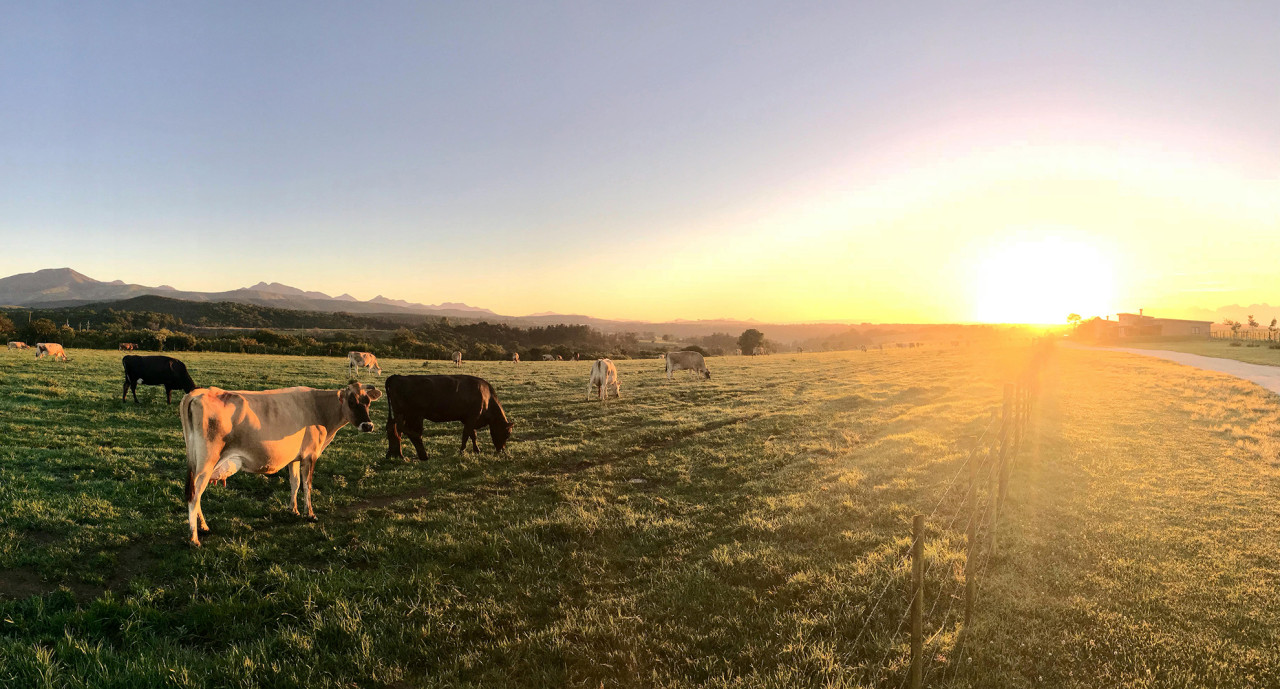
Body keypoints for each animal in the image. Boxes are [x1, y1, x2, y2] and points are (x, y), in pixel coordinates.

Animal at [180, 379, 378, 545]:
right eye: (351, 402)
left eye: (368, 402)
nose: (368, 426)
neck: (318, 408)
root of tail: (198, 393)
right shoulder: (310, 455)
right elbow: (307, 485)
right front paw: (310, 514)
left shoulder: (295, 457)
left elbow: (295, 483)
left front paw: (293, 509)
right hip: (206, 463)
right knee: (194, 495)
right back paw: (194, 538)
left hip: (196, 463)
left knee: (196, 494)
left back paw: (204, 527)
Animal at [381, 373, 512, 458]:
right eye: (507, 434)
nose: (502, 450)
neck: (487, 397)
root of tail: (396, 377)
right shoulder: (472, 417)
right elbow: (466, 435)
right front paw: (462, 451)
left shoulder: (468, 419)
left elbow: (472, 435)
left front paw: (476, 450)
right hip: (411, 414)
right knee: (405, 430)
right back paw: (421, 452)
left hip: (402, 414)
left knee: (393, 429)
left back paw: (395, 454)